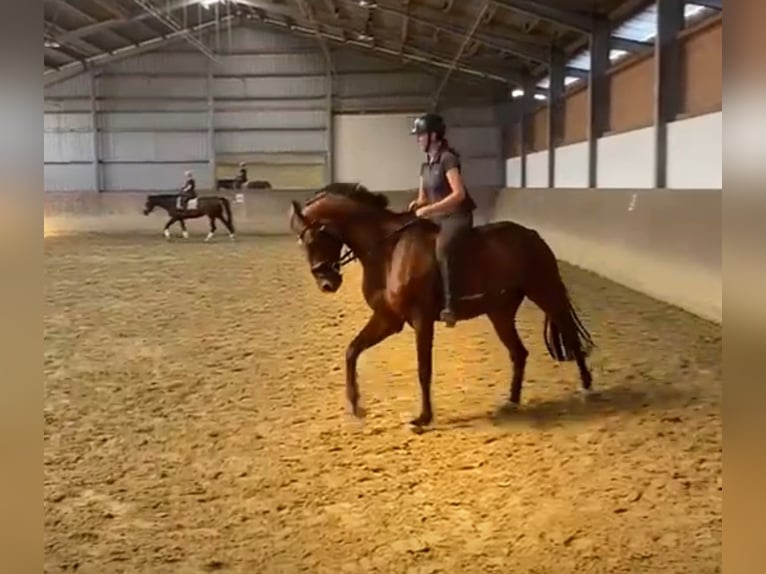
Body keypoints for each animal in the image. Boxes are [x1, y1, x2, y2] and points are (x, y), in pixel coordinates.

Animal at [288, 182, 596, 428]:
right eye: (302, 243)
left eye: (314, 237)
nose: (327, 283)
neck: (388, 251)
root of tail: (532, 235)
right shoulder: (388, 319)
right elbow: (352, 350)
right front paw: (355, 406)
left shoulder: (421, 318)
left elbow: (424, 369)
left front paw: (423, 417)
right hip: (500, 311)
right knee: (518, 352)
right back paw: (512, 401)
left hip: (544, 292)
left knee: (569, 335)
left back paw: (587, 389)